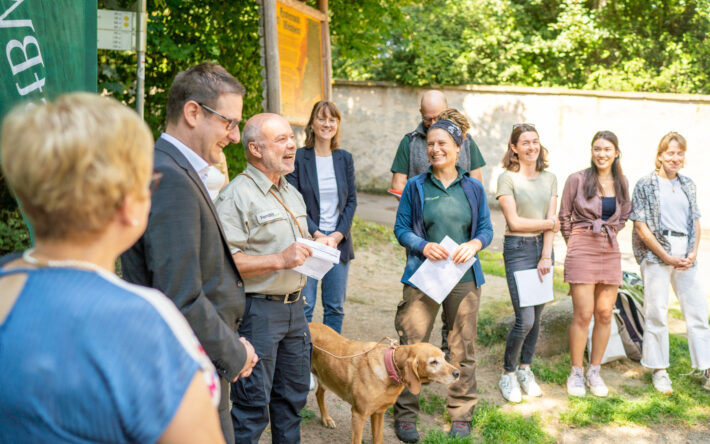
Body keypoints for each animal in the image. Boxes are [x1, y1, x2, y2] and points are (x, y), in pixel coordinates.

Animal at [312, 322, 462, 444]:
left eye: (444, 357)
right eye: (433, 362)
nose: (457, 373)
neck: (389, 368)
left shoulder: (379, 412)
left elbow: (378, 439)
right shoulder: (358, 415)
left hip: (325, 378)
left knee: (318, 394)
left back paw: (326, 419)